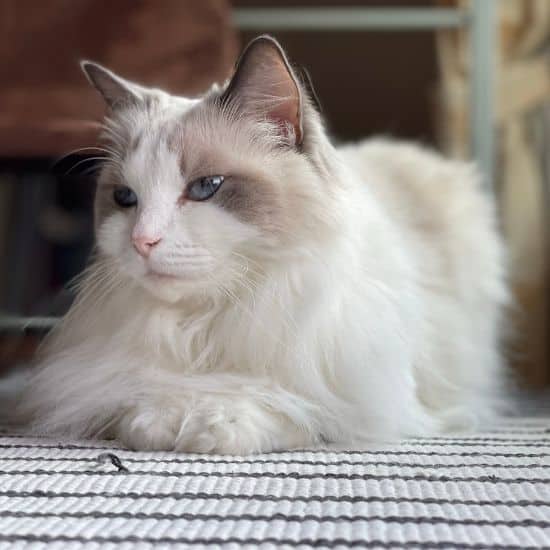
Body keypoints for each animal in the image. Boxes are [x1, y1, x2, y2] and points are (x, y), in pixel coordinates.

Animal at [17, 35, 512, 458]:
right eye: (125, 198)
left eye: (206, 187)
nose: (142, 241)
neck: (207, 323)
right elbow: (134, 399)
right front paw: (161, 418)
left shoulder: (358, 396)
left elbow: (283, 402)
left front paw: (209, 423)